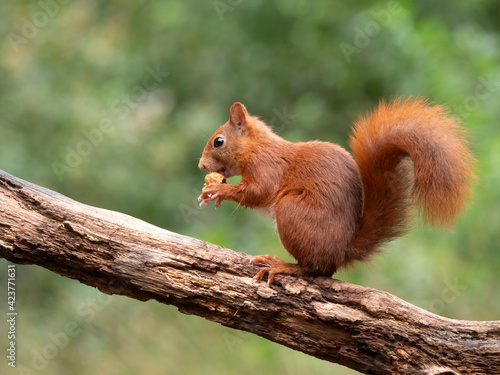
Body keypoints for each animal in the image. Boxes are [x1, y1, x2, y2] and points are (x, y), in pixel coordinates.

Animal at [197, 99, 474, 284]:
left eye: (218, 141)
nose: (200, 165)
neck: (256, 146)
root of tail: (343, 249)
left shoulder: (267, 166)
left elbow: (258, 192)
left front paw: (218, 189)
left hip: (291, 211)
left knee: (316, 268)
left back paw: (283, 266)